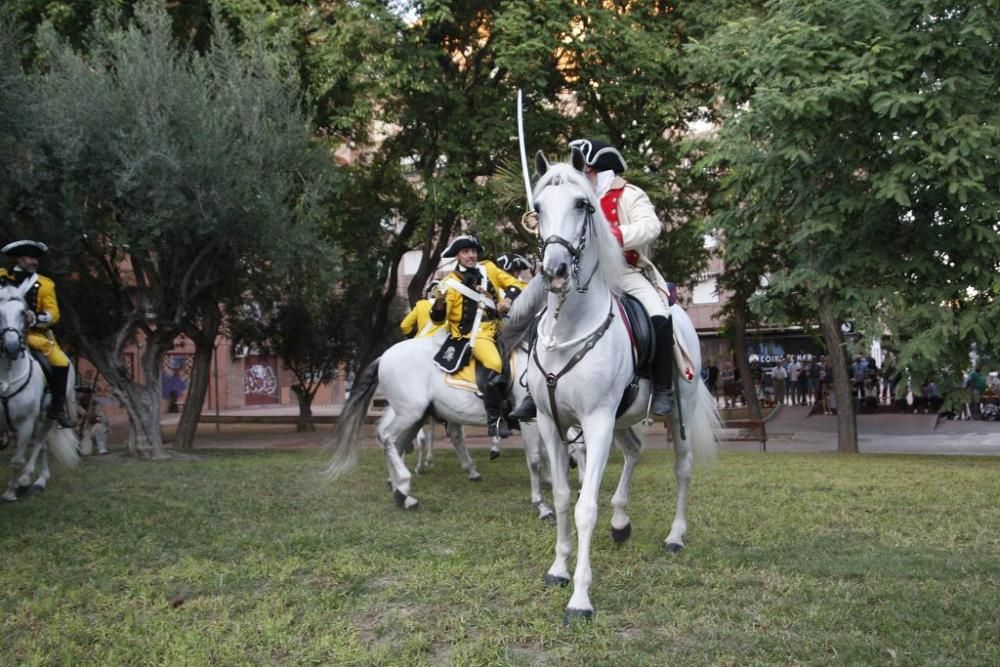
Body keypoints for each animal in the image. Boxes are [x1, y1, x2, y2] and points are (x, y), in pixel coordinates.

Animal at [0, 284, 79, 500]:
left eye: (22, 312)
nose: (11, 347)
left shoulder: (25, 421)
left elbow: (17, 460)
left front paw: (11, 491)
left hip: (48, 413)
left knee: (41, 442)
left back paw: (33, 479)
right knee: (42, 444)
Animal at [324, 328, 556, 516]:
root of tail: (384, 356)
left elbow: (547, 452)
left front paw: (551, 480)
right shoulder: (529, 421)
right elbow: (535, 459)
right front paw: (542, 505)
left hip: (415, 416)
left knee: (398, 444)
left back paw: (402, 494)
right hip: (409, 413)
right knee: (388, 438)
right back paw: (404, 484)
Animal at [520, 154, 724, 624]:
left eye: (583, 204)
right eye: (537, 207)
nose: (555, 271)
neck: (567, 328)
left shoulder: (595, 423)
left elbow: (584, 507)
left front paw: (580, 598)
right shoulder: (550, 422)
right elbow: (562, 497)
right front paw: (559, 569)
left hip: (675, 414)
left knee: (682, 470)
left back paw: (675, 536)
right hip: (622, 420)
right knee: (633, 451)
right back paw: (620, 523)